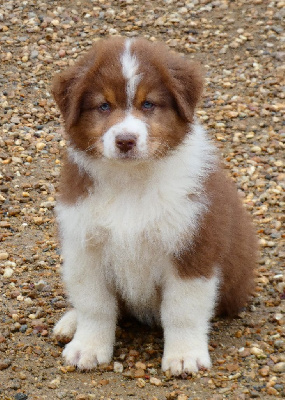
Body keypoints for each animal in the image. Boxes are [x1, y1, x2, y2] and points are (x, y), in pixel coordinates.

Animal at [51, 36, 258, 376]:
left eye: (148, 104)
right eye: (103, 106)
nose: (125, 140)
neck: (132, 181)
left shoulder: (193, 246)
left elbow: (182, 309)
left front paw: (184, 356)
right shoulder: (86, 247)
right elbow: (95, 305)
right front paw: (87, 347)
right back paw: (70, 322)